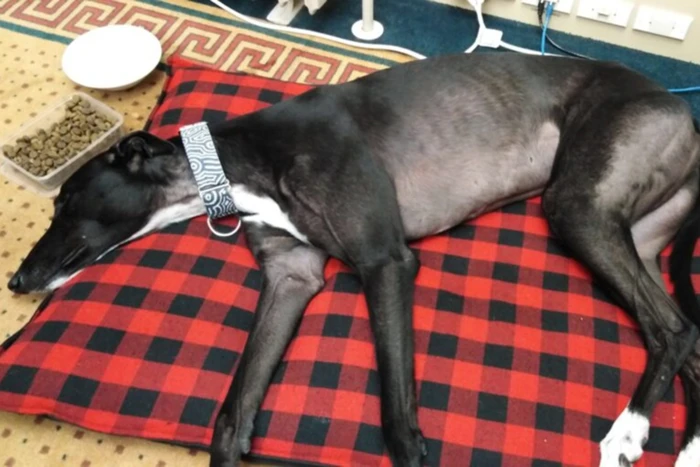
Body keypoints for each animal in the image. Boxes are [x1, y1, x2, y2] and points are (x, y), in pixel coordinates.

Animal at [5, 53, 700, 466]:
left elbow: (395, 419)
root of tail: (683, 110)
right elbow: (231, 416)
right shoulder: (290, 276)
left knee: (669, 331)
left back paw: (628, 432)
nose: (16, 280)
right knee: (686, 336)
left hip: (577, 207)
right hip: (632, 236)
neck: (236, 161)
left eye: (66, 200)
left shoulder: (382, 260)